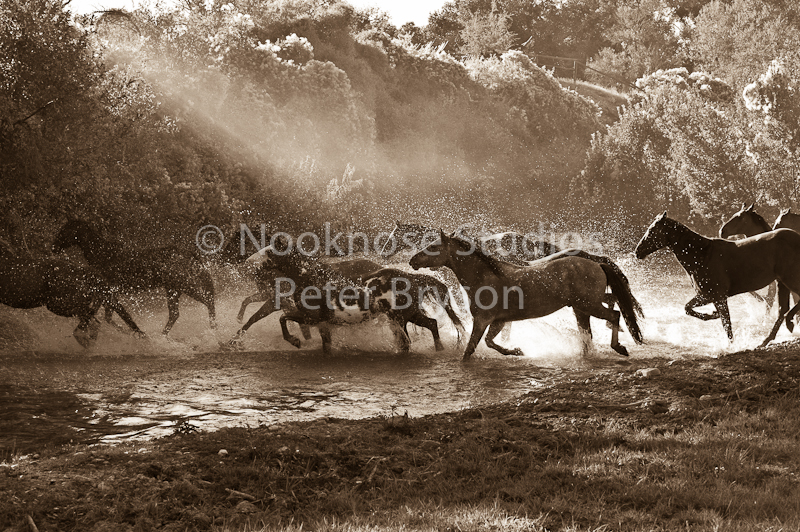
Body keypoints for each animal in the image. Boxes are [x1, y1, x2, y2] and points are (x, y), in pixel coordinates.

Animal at [51, 219, 215, 335]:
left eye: (65, 230)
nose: (53, 247)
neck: (101, 254)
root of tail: (187, 253)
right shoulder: (107, 291)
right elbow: (107, 316)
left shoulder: (107, 290)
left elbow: (107, 314)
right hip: (173, 289)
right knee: (175, 314)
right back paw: (163, 336)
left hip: (184, 285)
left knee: (207, 300)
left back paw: (214, 329)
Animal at [408, 230, 643, 360]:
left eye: (433, 247)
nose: (412, 261)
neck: (484, 276)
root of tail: (596, 263)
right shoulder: (498, 321)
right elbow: (490, 343)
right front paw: (517, 351)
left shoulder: (483, 320)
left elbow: (471, 349)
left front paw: (515, 351)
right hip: (582, 307)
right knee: (595, 325)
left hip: (589, 304)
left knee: (614, 315)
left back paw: (620, 347)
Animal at [636, 212, 800, 345]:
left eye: (651, 231)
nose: (637, 251)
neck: (701, 255)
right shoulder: (708, 296)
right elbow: (688, 308)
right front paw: (712, 315)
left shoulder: (717, 296)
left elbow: (726, 325)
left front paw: (730, 346)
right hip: (782, 282)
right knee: (782, 309)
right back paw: (767, 339)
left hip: (790, 280)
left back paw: (789, 323)